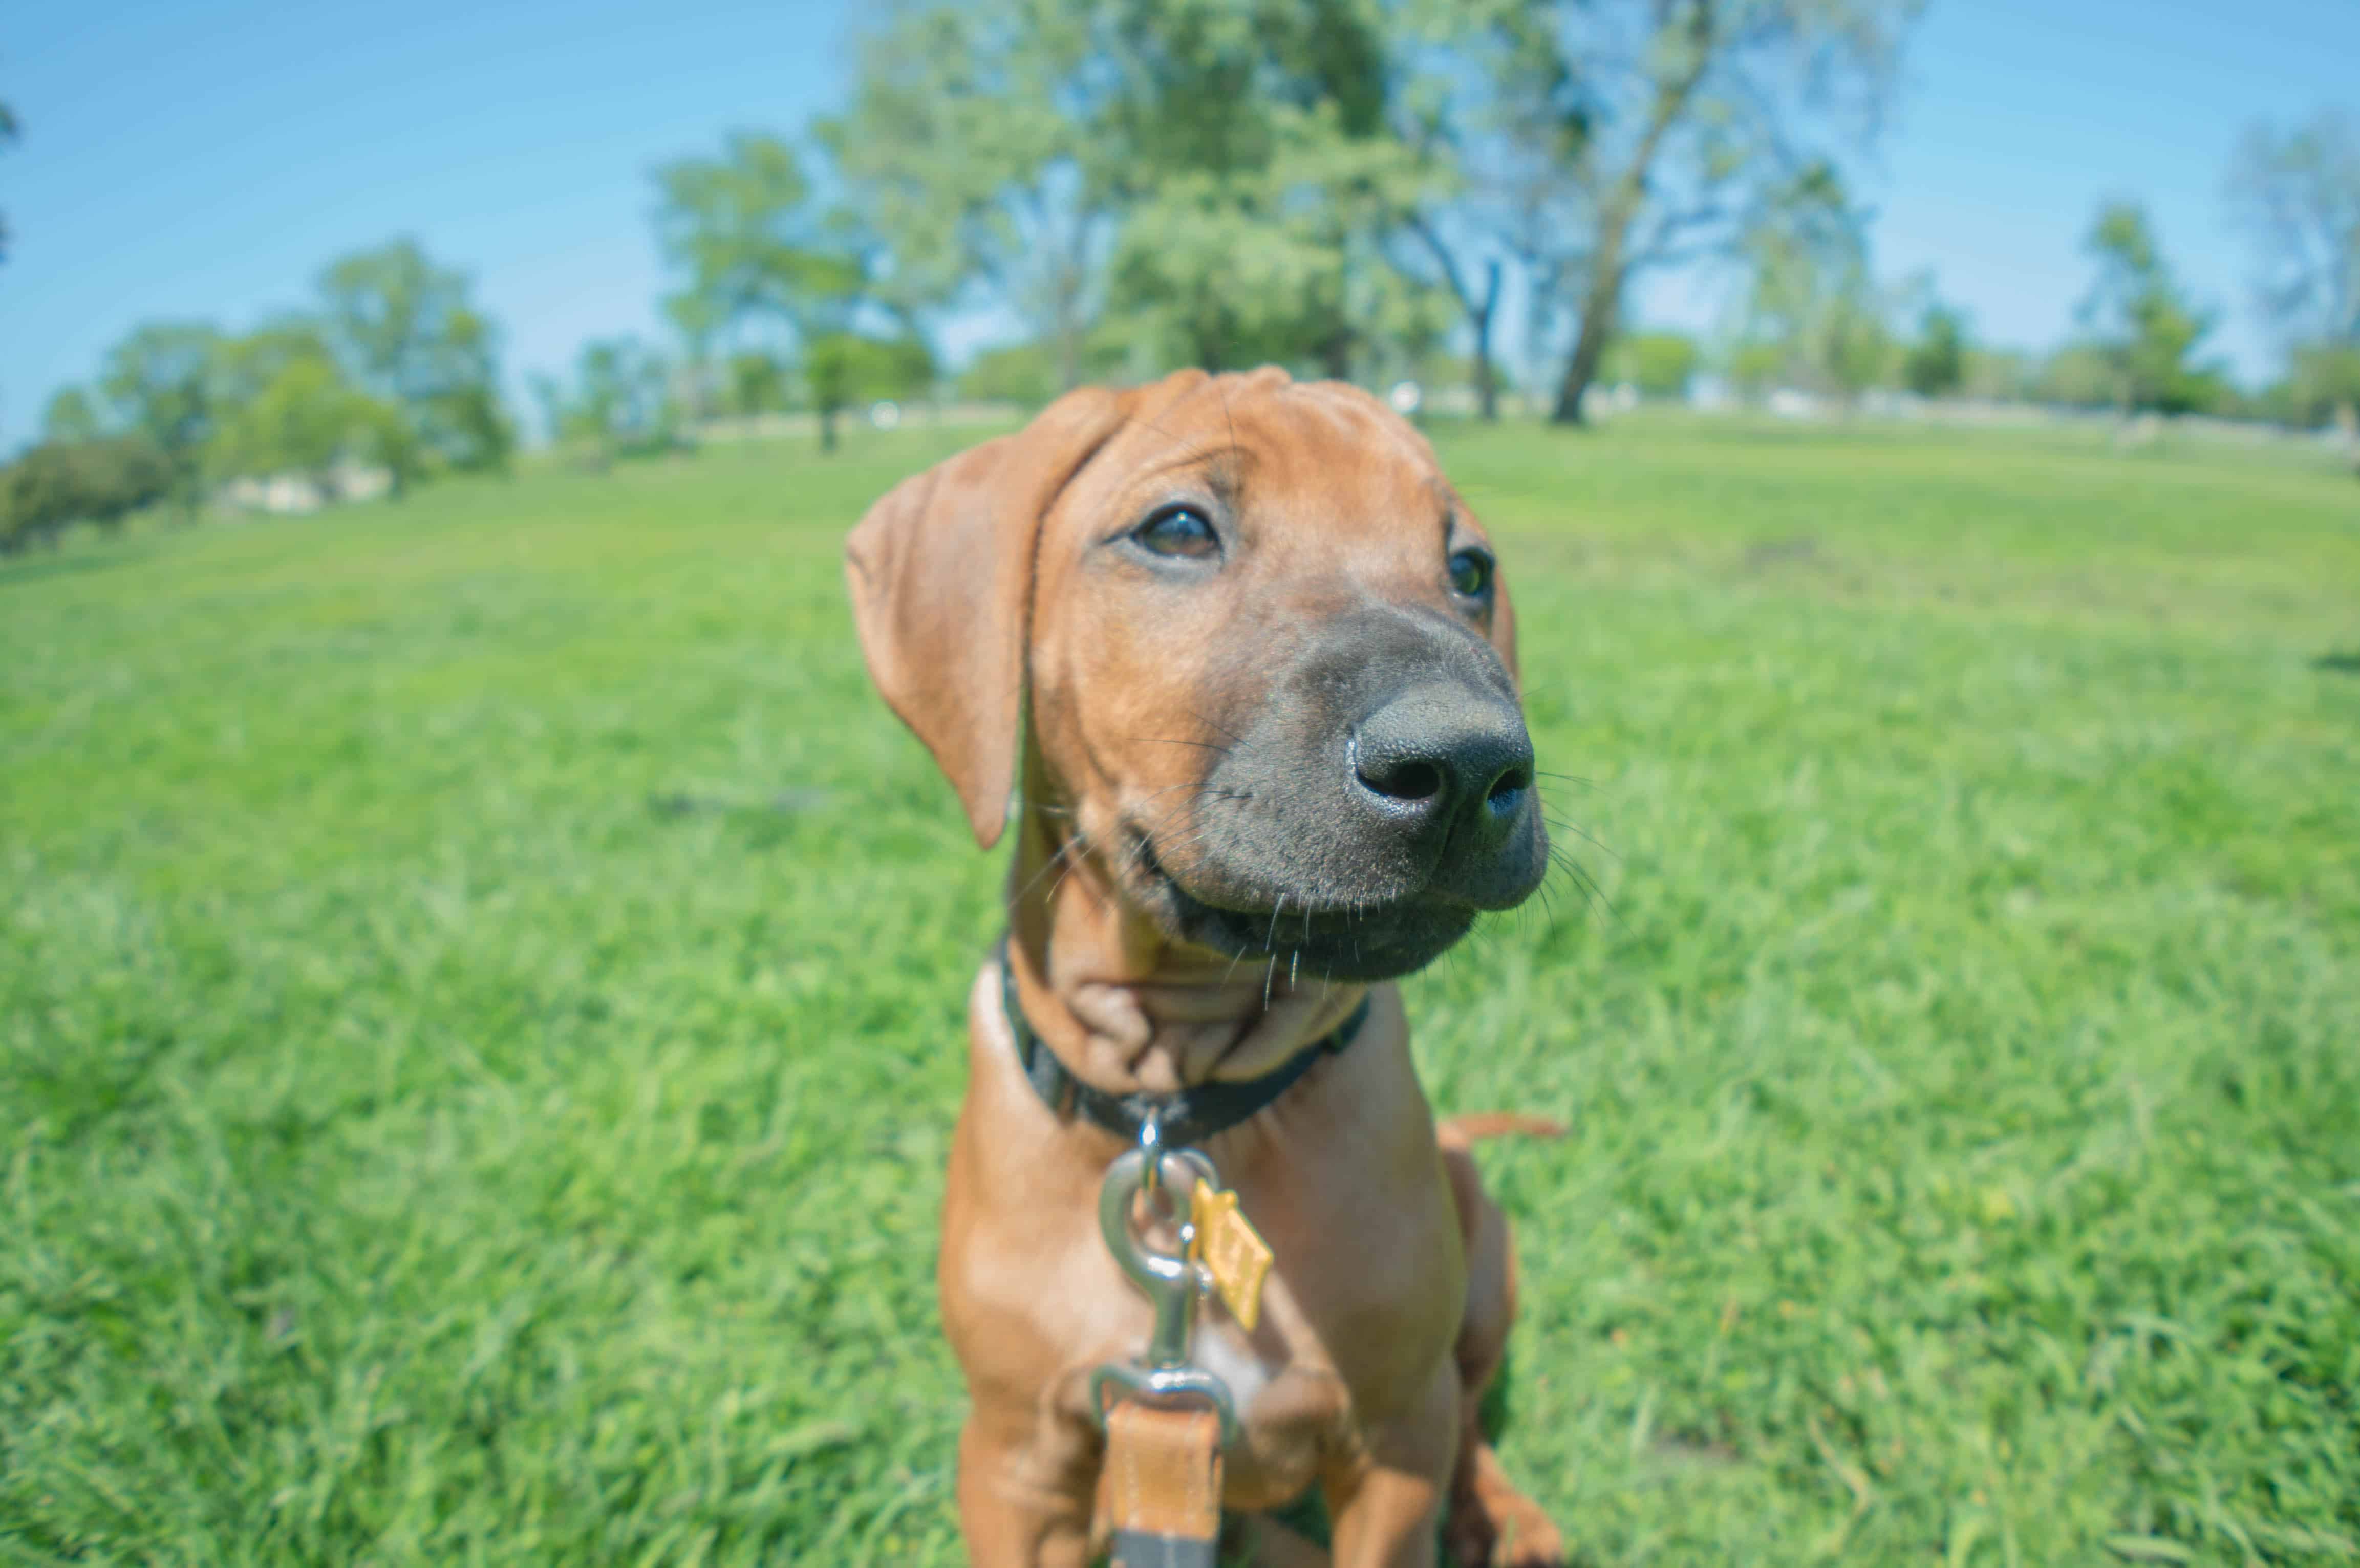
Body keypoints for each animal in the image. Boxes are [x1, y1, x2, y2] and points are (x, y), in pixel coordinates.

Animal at [849, 371, 1567, 1568]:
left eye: (1468, 569)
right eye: (1179, 530)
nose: (1469, 763)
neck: (1180, 1105)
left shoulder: (1392, 1442)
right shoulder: (1011, 1459)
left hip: (1481, 1279)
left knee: (1471, 1407)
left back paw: (1506, 1512)